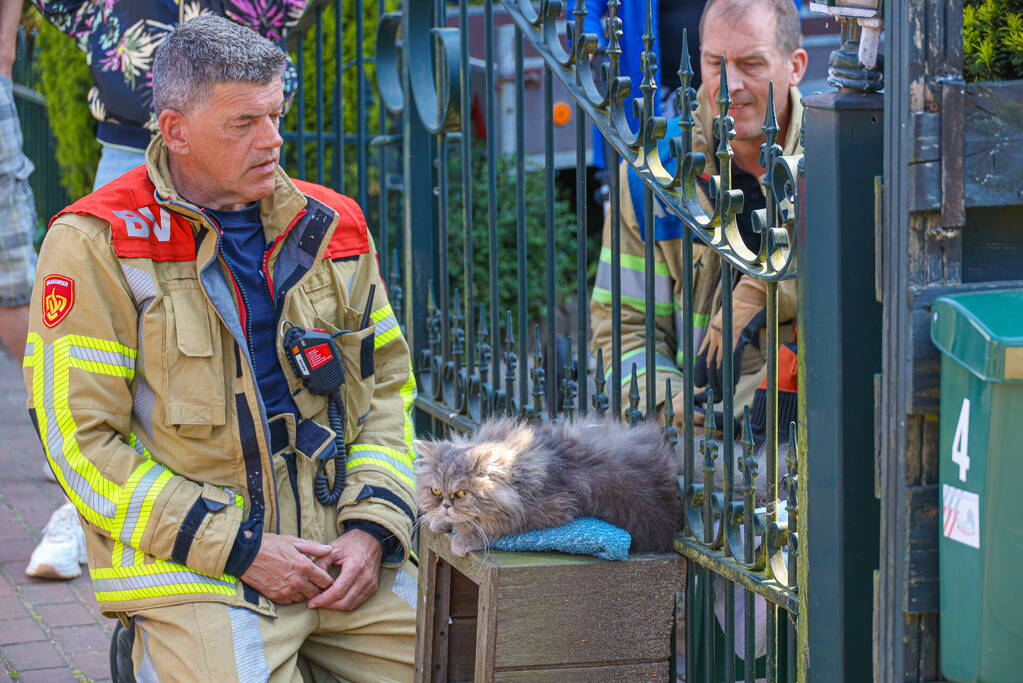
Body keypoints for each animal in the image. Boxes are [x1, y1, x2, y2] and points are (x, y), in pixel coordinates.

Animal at [411, 417, 683, 556]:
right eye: (436, 491)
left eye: (461, 493)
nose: (446, 506)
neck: (518, 475)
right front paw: (440, 521)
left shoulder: (550, 508)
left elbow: (493, 525)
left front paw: (462, 539)